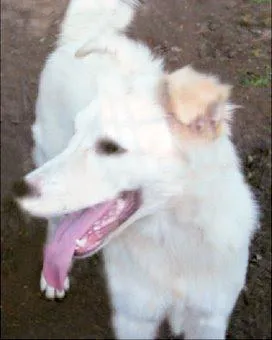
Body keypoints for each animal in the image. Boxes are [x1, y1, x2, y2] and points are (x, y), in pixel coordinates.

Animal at [13, 1, 258, 338]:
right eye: (77, 133)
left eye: (111, 147)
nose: (18, 190)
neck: (173, 240)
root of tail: (81, 36)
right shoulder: (135, 318)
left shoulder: (209, 319)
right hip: (48, 152)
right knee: (55, 225)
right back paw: (54, 280)